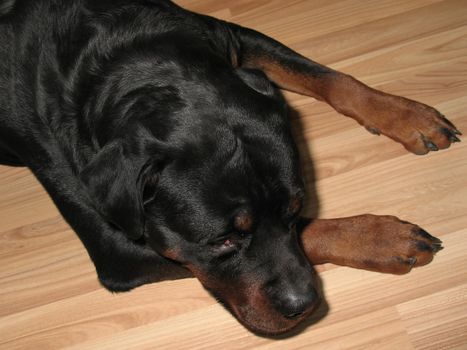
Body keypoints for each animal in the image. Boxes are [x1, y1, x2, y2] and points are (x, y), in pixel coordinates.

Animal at [0, 0, 460, 334]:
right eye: (221, 241)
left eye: (294, 211)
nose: (305, 305)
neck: (128, 65)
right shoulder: (115, 246)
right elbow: (316, 231)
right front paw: (382, 237)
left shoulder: (232, 39)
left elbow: (326, 76)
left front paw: (406, 115)